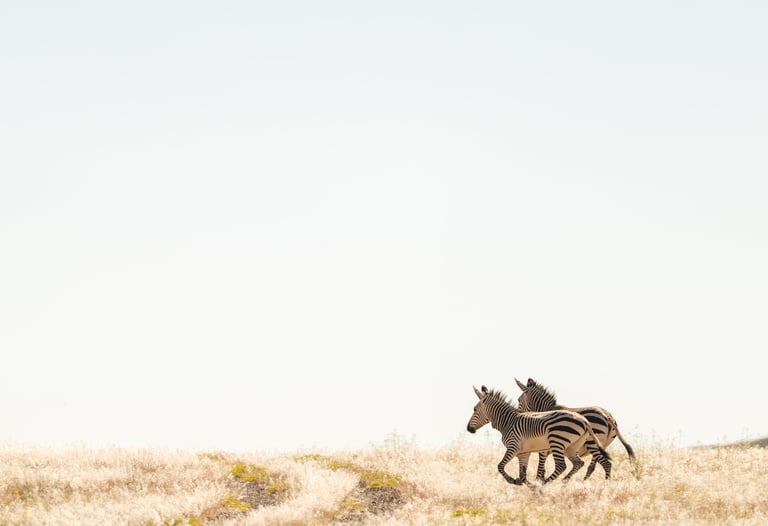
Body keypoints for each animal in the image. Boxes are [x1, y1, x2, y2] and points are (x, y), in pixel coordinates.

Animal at [466, 385, 611, 485]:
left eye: (474, 409)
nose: (468, 429)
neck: (508, 421)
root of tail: (585, 421)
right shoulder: (523, 453)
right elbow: (523, 474)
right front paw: (526, 485)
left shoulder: (513, 447)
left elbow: (500, 466)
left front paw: (514, 481)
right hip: (571, 447)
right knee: (578, 463)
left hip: (557, 441)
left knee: (562, 466)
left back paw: (543, 485)